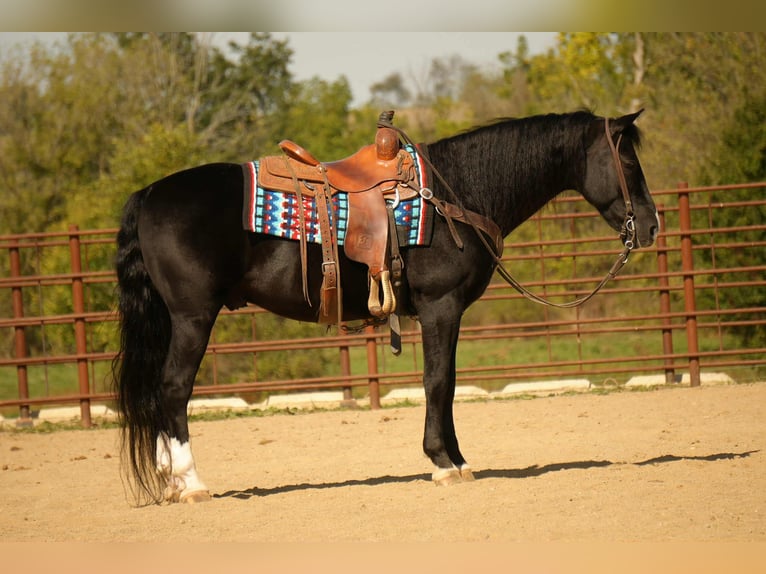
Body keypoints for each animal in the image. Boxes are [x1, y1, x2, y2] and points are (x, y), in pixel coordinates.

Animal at [114, 109, 659, 505]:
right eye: (630, 163)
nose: (652, 226)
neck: (458, 194)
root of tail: (149, 193)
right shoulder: (442, 307)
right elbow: (438, 381)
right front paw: (442, 463)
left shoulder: (446, 314)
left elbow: (449, 383)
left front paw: (460, 461)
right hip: (193, 317)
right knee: (173, 389)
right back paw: (191, 483)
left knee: (159, 392)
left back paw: (169, 478)